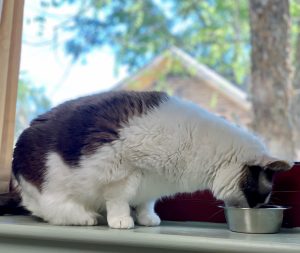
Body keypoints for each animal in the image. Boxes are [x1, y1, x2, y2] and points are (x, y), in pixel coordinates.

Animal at [12, 92, 292, 228]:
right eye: (258, 195)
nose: (256, 208)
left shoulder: (150, 185)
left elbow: (146, 203)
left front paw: (147, 219)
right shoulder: (119, 172)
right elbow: (118, 201)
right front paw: (122, 221)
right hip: (52, 184)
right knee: (49, 209)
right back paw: (87, 217)